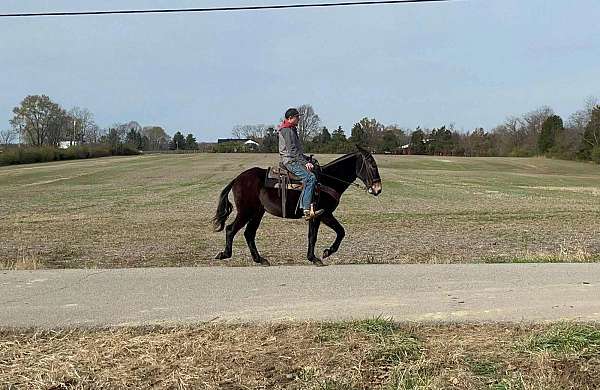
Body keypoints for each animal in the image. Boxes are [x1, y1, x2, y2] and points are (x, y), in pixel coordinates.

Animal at [212, 145, 380, 266]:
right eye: (372, 165)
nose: (378, 189)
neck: (328, 180)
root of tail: (237, 179)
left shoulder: (315, 216)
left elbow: (314, 235)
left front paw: (314, 257)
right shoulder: (324, 214)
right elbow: (338, 232)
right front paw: (324, 254)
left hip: (257, 212)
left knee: (249, 234)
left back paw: (260, 259)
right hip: (246, 211)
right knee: (231, 229)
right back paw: (224, 254)